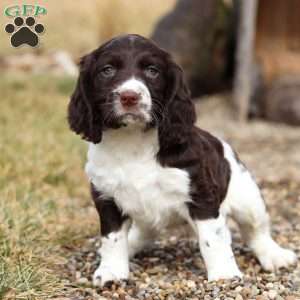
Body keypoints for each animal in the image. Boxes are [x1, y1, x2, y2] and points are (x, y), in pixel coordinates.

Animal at [67, 34, 296, 288]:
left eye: (152, 71)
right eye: (107, 70)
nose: (130, 97)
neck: (133, 142)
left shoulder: (202, 195)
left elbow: (212, 238)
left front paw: (224, 274)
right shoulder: (106, 196)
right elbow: (113, 238)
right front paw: (111, 272)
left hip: (248, 198)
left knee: (256, 231)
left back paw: (275, 256)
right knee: (144, 232)